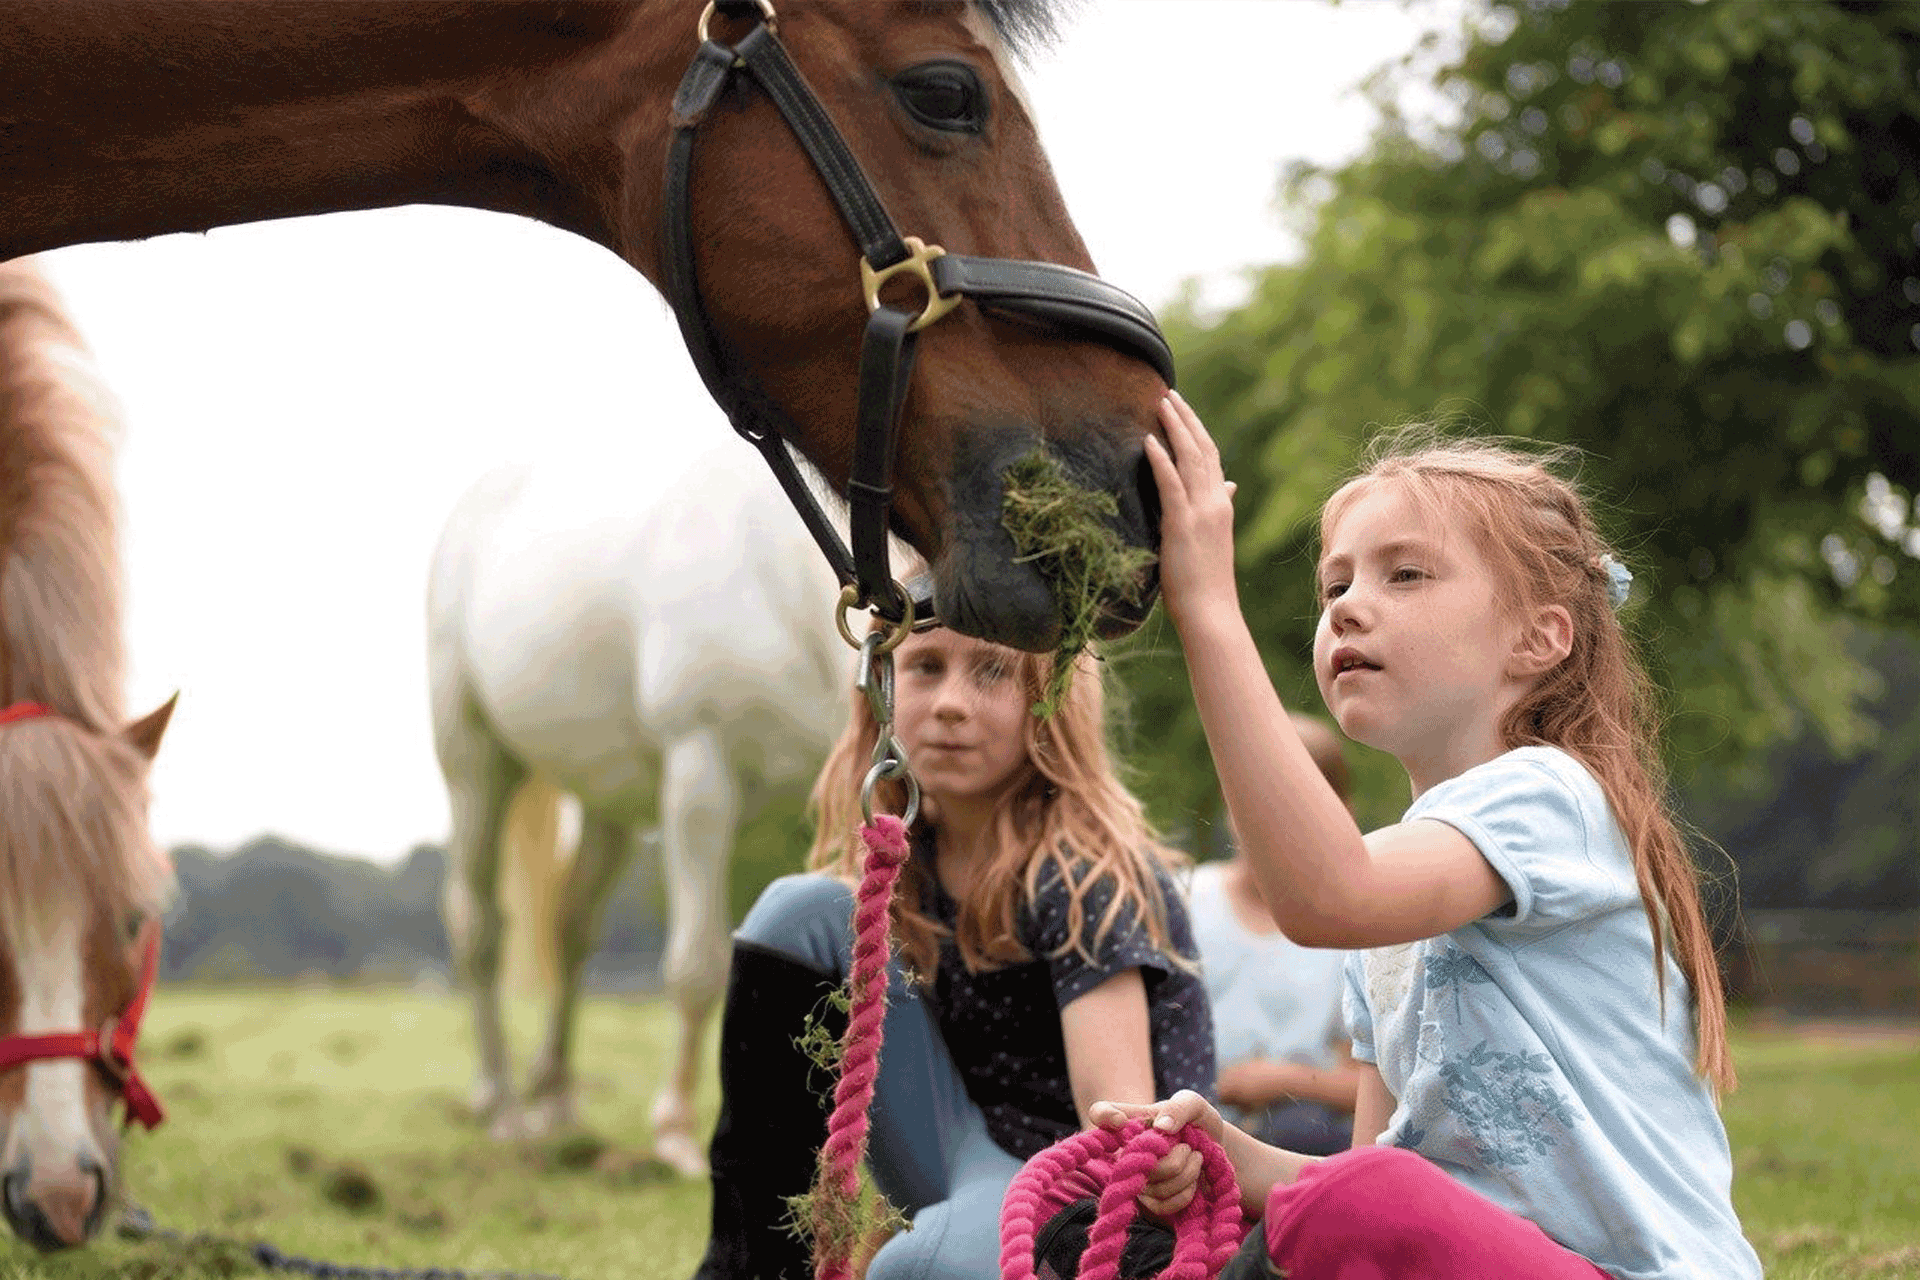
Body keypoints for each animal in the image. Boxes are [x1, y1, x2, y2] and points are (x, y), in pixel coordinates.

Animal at [435, 435, 856, 1174]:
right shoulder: (700, 776)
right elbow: (696, 965)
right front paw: (678, 1133)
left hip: (607, 802)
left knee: (571, 929)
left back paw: (555, 1098)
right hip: (476, 768)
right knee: (477, 925)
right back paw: (504, 1103)